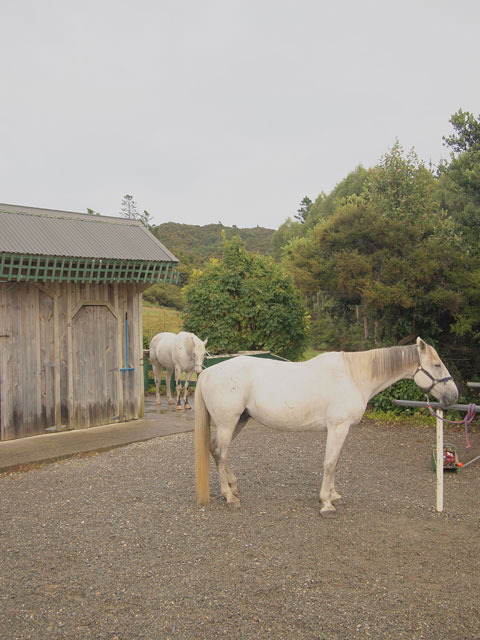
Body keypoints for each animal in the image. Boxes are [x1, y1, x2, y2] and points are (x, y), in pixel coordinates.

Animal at [195, 337, 458, 517]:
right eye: (437, 365)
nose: (453, 395)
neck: (353, 377)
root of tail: (207, 373)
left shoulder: (341, 430)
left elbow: (336, 462)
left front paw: (333, 495)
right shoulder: (338, 427)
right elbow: (330, 463)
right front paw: (326, 503)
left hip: (239, 421)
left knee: (216, 450)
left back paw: (233, 486)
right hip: (228, 423)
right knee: (221, 454)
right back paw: (229, 496)